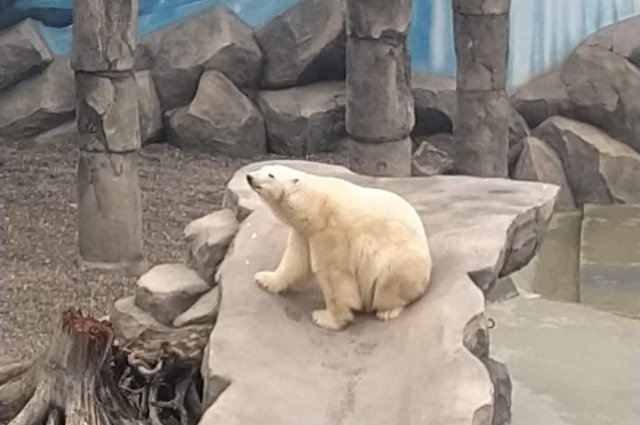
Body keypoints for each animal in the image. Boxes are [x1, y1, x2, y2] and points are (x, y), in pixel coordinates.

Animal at [248, 164, 432, 330]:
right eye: (261, 168)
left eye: (271, 174)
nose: (249, 177)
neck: (314, 204)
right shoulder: (304, 234)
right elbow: (294, 262)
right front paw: (263, 278)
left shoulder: (331, 233)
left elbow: (334, 276)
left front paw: (325, 318)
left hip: (400, 259)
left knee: (388, 282)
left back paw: (387, 311)